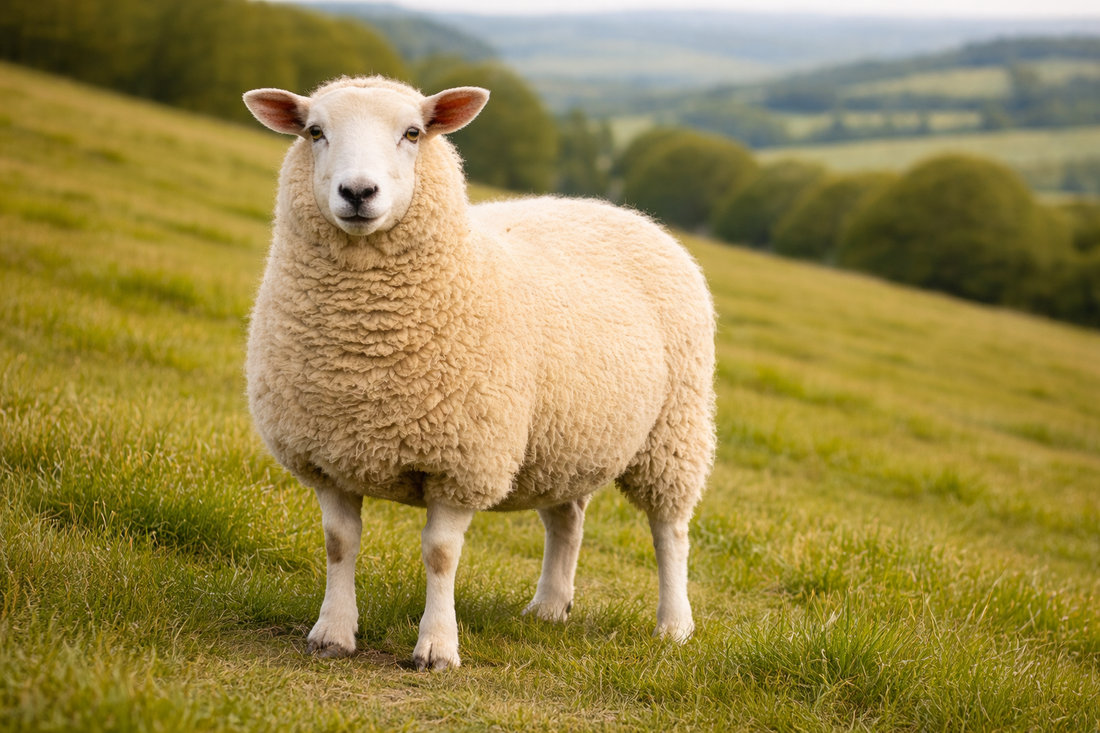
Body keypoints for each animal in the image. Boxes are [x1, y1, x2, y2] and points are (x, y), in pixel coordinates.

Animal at [242, 76, 716, 671]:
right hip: (562, 440)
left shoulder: (463, 460)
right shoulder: (327, 454)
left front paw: (437, 647)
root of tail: (623, 211)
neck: (365, 352)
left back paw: (674, 626)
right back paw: (549, 607)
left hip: (674, 431)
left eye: (413, 133)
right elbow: (338, 543)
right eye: (314, 132)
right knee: (567, 520)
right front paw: (332, 633)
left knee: (669, 531)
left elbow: (441, 554)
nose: (357, 192)